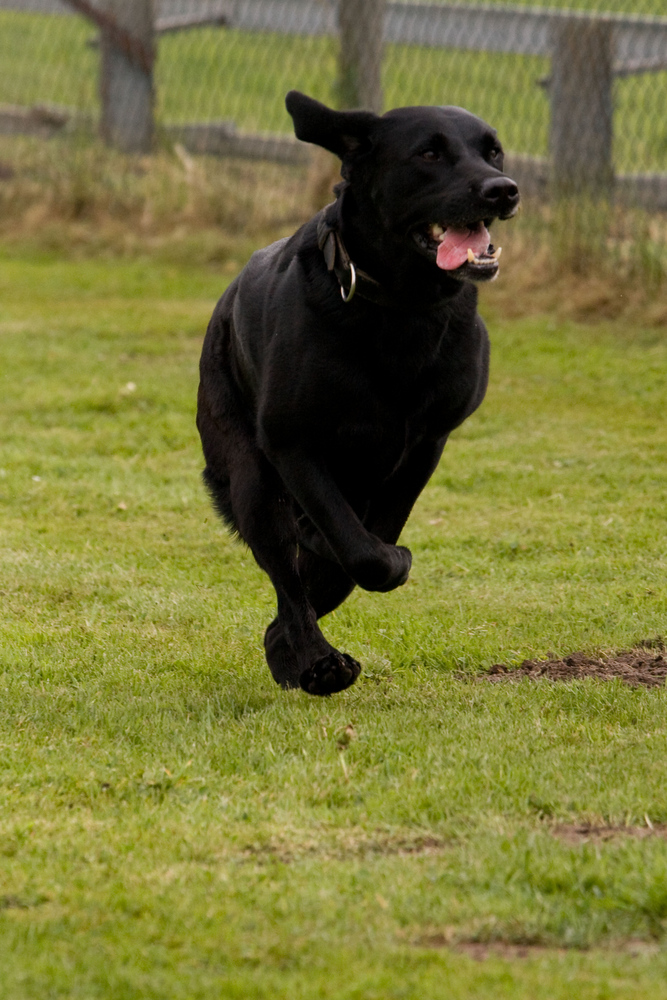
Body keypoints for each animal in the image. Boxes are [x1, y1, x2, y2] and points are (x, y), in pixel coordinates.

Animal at [198, 92, 520, 696]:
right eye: (428, 153)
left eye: (494, 151)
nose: (503, 189)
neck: (401, 308)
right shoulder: (294, 444)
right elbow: (362, 553)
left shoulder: (426, 444)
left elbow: (366, 545)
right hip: (250, 475)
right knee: (288, 576)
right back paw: (318, 661)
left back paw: (291, 655)